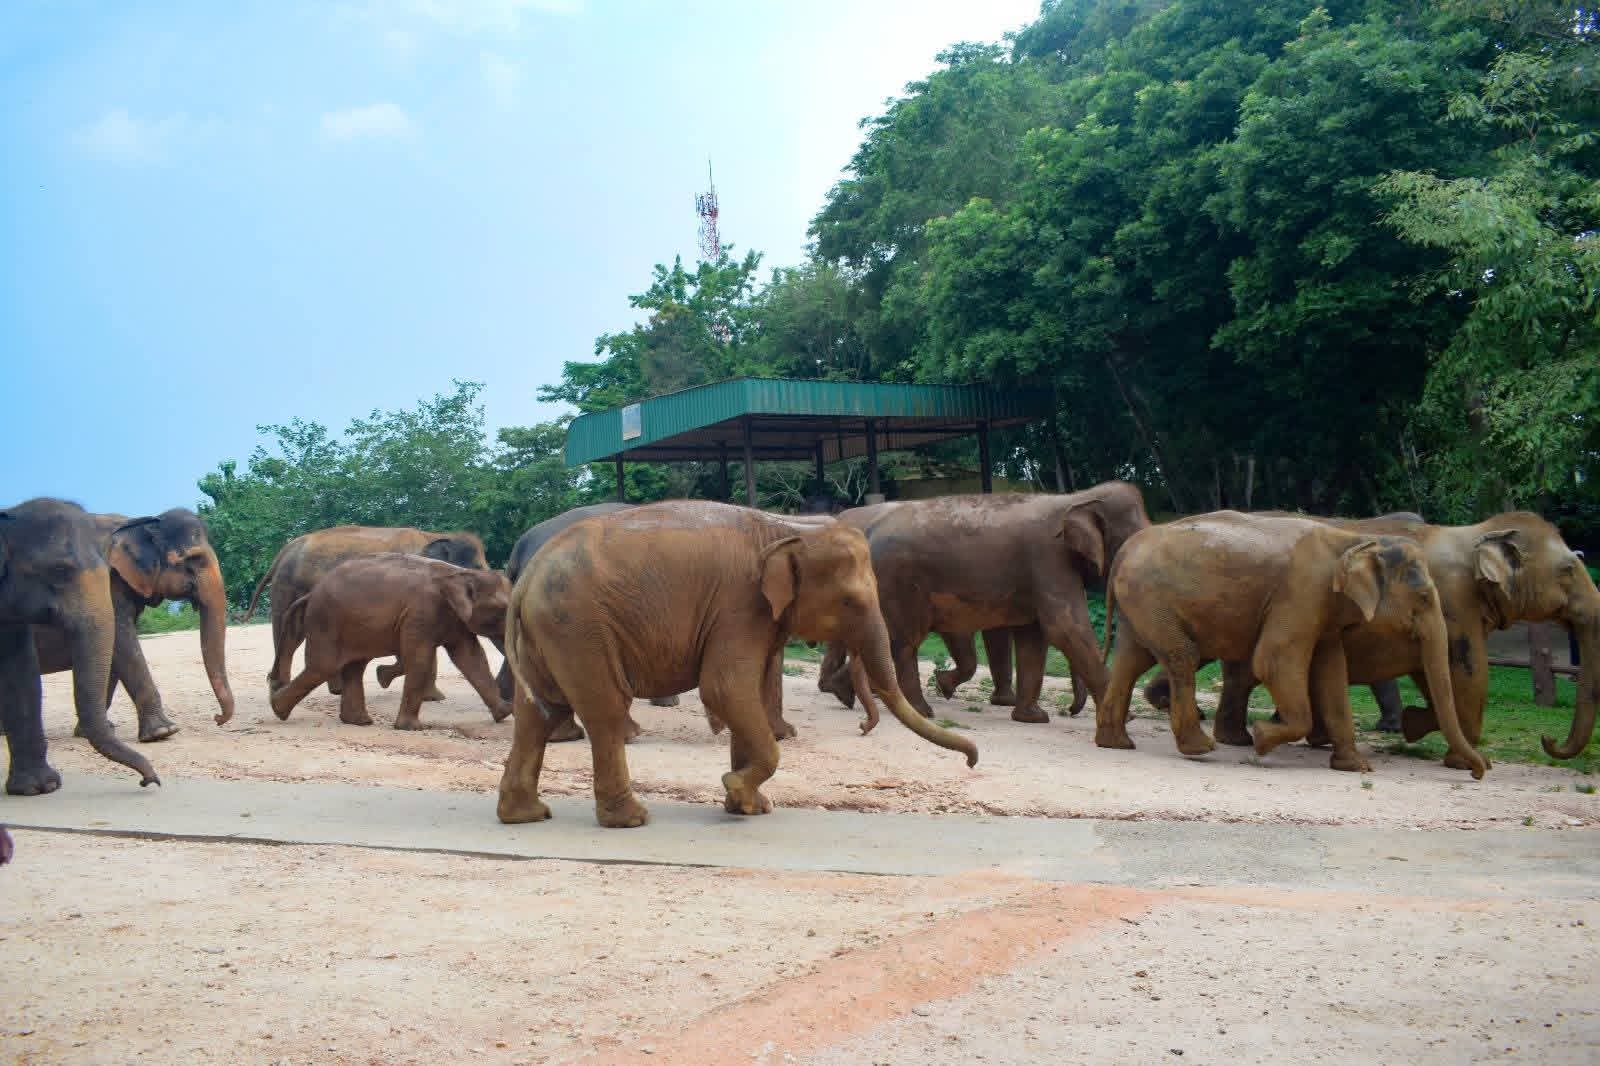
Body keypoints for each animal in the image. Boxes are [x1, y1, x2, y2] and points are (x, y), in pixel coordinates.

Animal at [31, 508, 234, 741]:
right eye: (193, 560)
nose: (217, 718)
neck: (138, 525)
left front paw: (94, 732)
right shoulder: (105, 586)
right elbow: (122, 642)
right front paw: (163, 732)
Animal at [247, 524, 490, 700]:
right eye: (477, 568)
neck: (434, 536)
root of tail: (285, 551)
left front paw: (431, 697)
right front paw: (388, 679)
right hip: (290, 588)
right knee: (290, 635)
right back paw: (283, 689)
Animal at [269, 554, 511, 730]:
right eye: (501, 611)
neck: (460, 573)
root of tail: (311, 594)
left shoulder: (454, 620)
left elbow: (471, 657)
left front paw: (505, 712)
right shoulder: (421, 612)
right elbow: (420, 659)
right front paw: (411, 728)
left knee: (353, 667)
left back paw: (359, 721)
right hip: (326, 622)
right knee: (324, 666)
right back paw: (278, 709)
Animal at [1096, 511, 1487, 777]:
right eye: (1423, 597)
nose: (1479, 771)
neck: (1353, 539)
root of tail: (1124, 550)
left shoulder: (1323, 611)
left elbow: (1331, 673)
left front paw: (1356, 768)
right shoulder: (1301, 593)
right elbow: (1272, 660)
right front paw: (1261, 738)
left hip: (1139, 602)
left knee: (1131, 660)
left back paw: (1117, 743)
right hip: (1150, 596)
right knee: (1181, 656)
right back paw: (1200, 748)